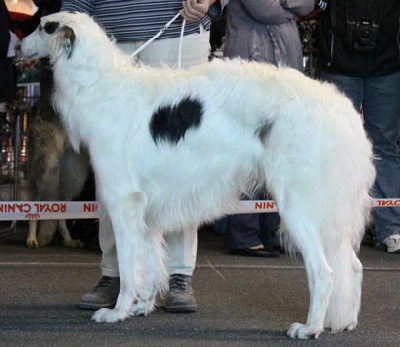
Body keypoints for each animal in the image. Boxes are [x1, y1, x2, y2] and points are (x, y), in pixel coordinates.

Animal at [21, 11, 376, 340]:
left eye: (43, 27)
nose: (19, 46)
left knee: (325, 271)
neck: (101, 84)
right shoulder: (147, 209)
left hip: (298, 206)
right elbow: (150, 264)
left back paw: (310, 327)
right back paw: (343, 322)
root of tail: (341, 107)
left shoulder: (123, 201)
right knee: (353, 266)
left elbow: (129, 267)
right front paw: (141, 307)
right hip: (327, 210)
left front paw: (118, 311)